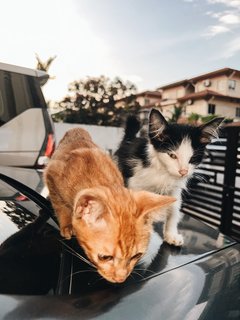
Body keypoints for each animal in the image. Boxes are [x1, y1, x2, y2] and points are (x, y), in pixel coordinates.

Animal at [43, 127, 174, 282]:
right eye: (105, 257)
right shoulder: (51, 173)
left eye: (136, 256)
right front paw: (66, 224)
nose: (121, 279)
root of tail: (77, 129)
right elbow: (60, 205)